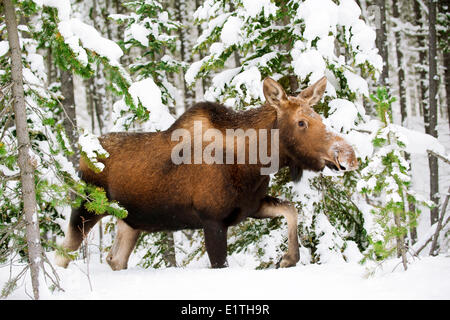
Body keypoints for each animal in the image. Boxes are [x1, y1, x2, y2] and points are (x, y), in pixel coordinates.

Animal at [55, 77, 358, 270]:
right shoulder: (212, 220)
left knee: (115, 259)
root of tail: (82, 153)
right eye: (302, 122)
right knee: (63, 252)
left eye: (321, 117)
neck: (254, 163)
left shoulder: (249, 207)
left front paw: (288, 258)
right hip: (86, 205)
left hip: (130, 221)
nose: (348, 155)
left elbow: (291, 210)